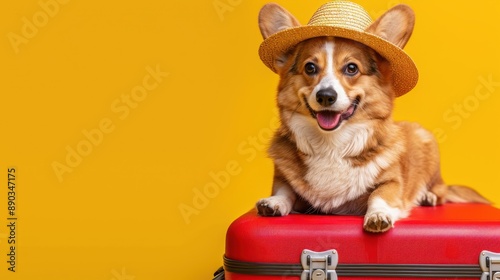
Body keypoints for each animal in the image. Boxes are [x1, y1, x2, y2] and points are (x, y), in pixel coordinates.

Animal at [256, 2, 490, 233]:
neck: (332, 144)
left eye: (351, 68)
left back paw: (427, 196)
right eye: (310, 67)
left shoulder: (391, 182)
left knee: (440, 190)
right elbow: (285, 191)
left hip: (427, 145)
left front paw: (378, 215)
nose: (326, 96)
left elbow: (378, 195)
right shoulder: (283, 179)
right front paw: (274, 202)